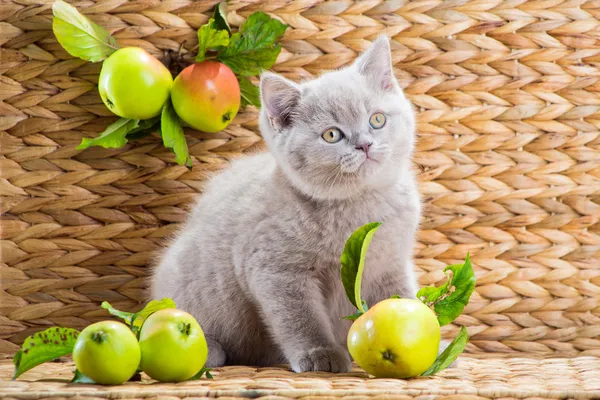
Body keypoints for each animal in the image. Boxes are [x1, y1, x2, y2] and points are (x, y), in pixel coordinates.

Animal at [150, 36, 422, 374]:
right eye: (332, 135)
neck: (362, 202)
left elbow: (402, 299)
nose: (365, 144)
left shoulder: (391, 264)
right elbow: (300, 317)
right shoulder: (276, 269)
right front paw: (321, 354)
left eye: (377, 119)